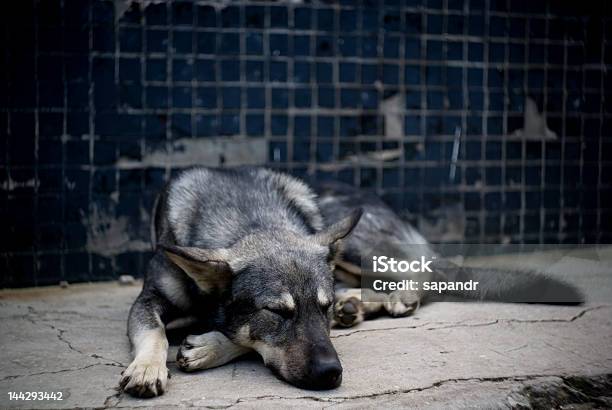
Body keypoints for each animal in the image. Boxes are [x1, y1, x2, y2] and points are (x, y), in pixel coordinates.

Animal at [119, 166, 584, 398]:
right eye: (276, 312)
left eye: (319, 309)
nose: (331, 374)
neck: (246, 217)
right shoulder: (148, 300)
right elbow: (154, 332)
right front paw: (147, 367)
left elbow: (239, 335)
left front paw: (211, 345)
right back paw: (362, 303)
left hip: (359, 246)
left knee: (430, 272)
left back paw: (390, 298)